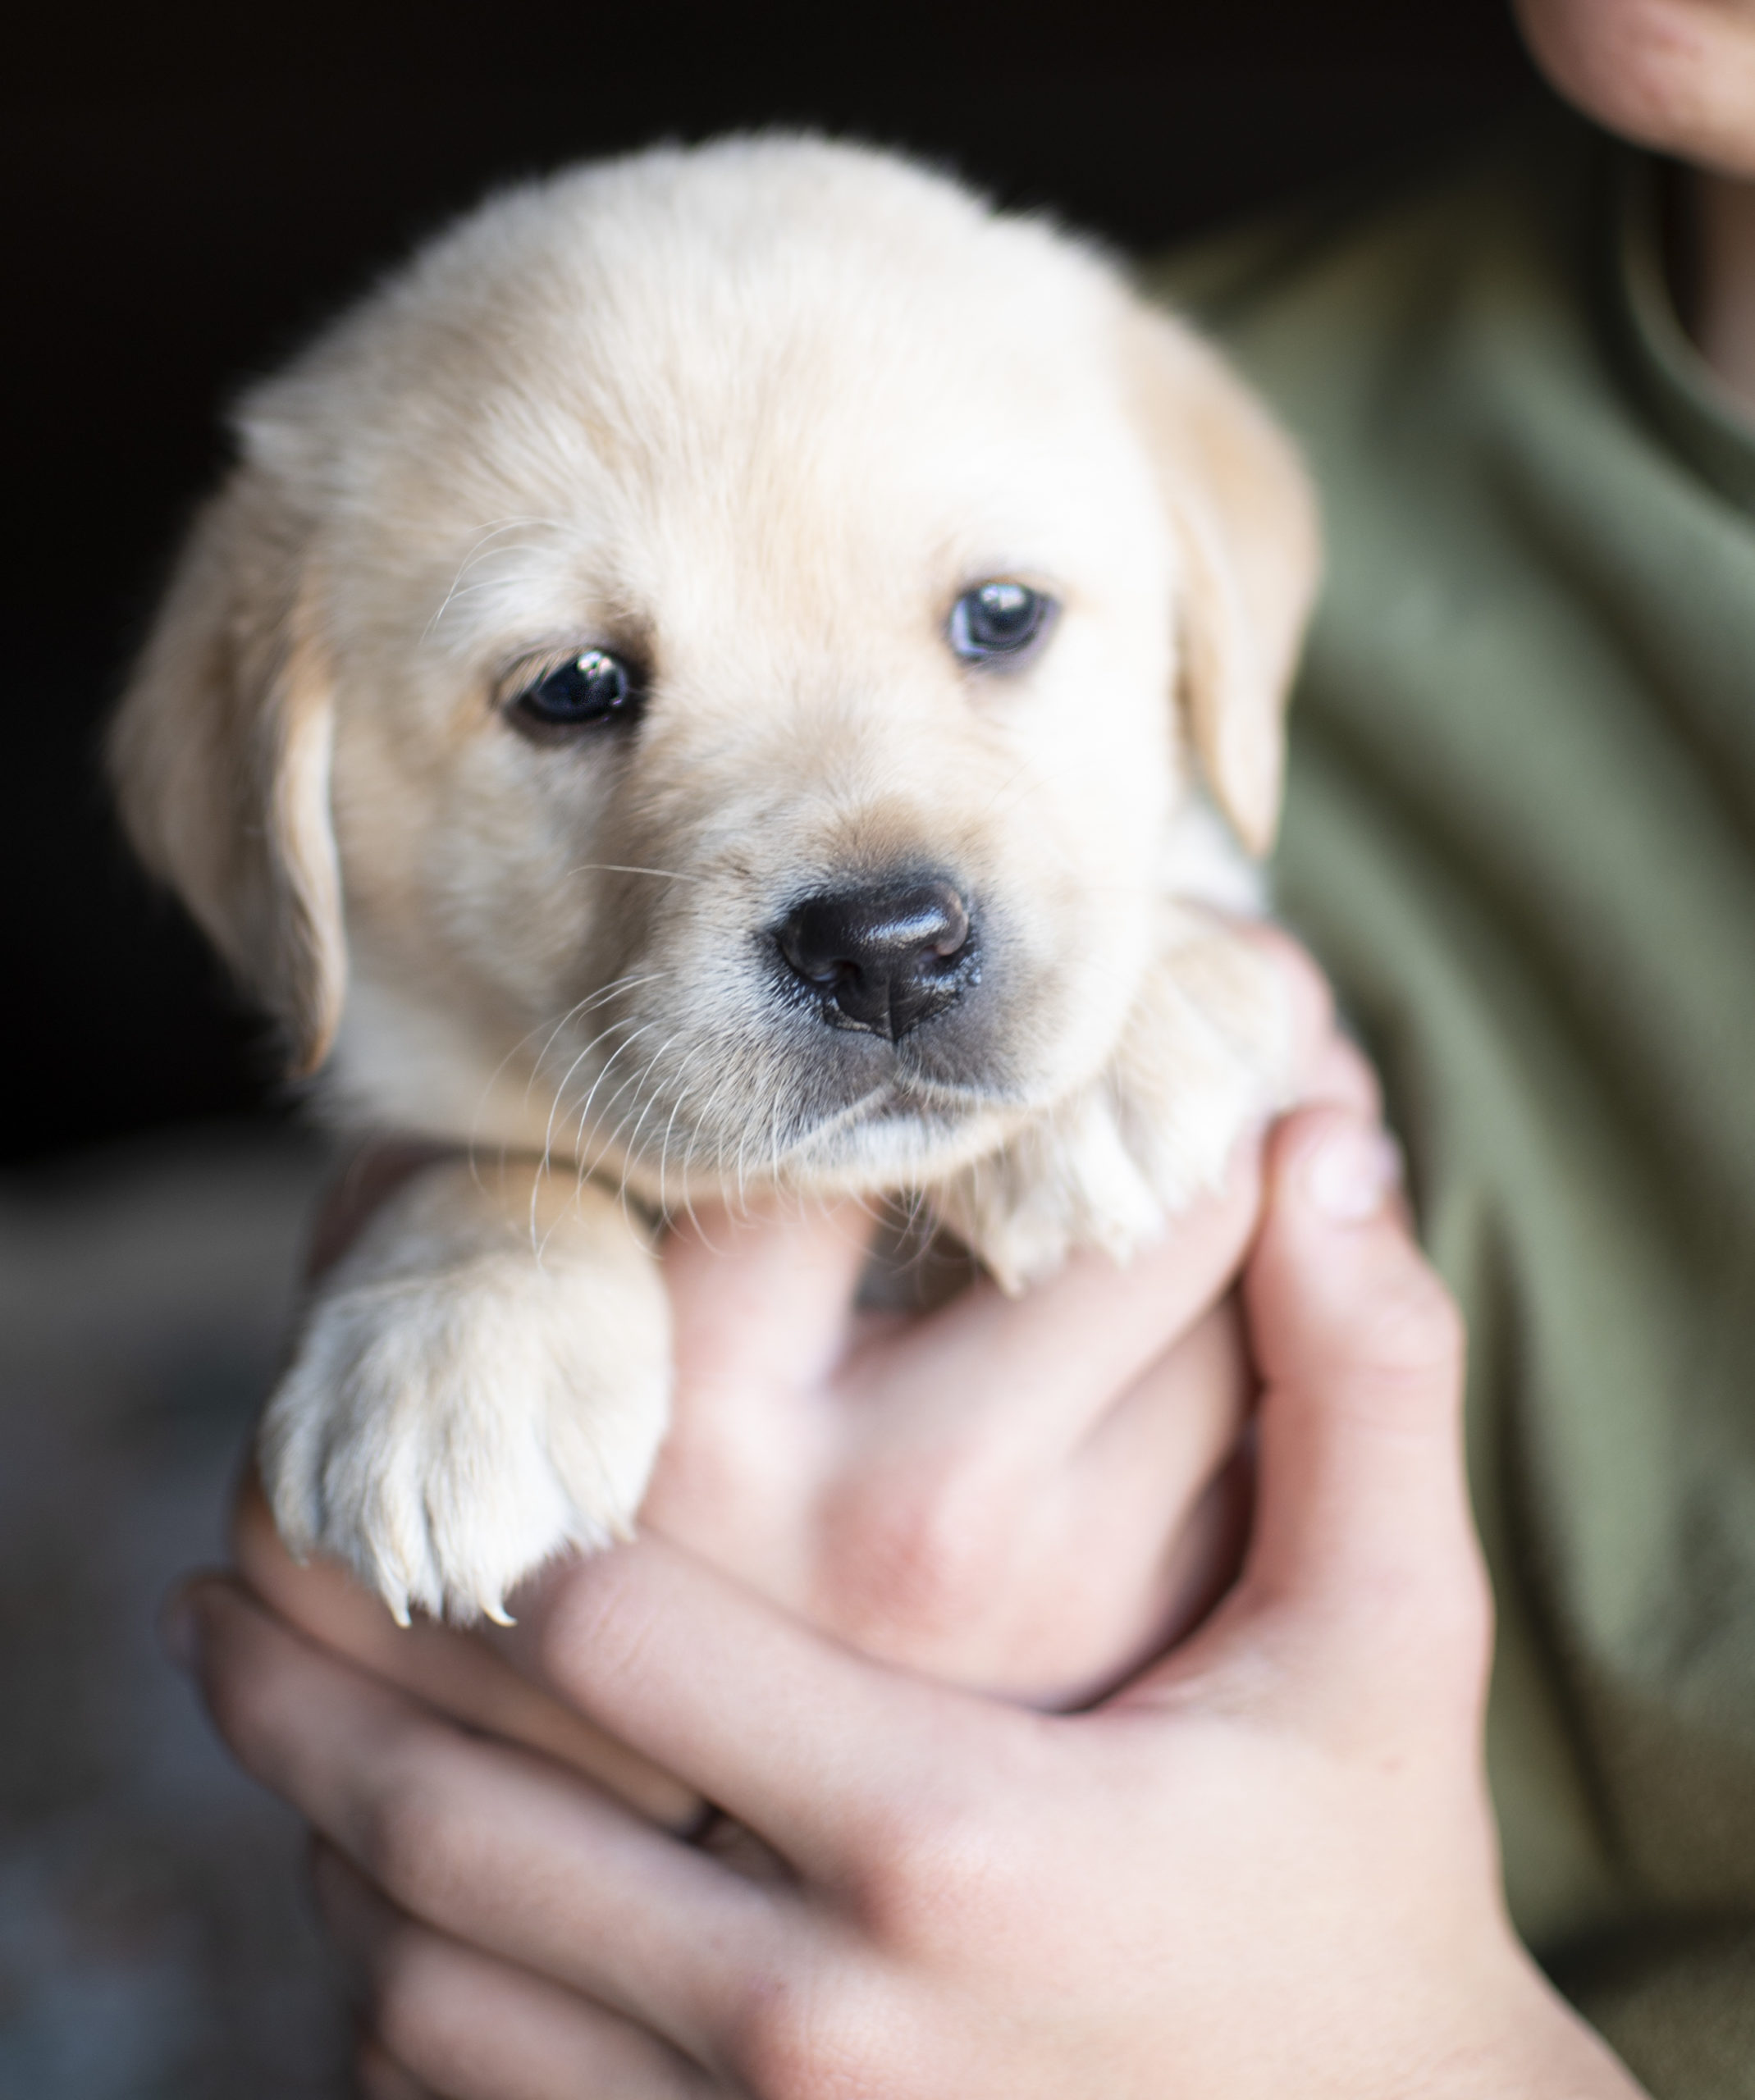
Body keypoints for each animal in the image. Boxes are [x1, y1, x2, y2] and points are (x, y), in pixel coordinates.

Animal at [109, 135, 1318, 1621]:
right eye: (574, 685)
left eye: (1000, 615)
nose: (884, 946)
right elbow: (490, 1161)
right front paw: (457, 1343)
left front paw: (1126, 1052)